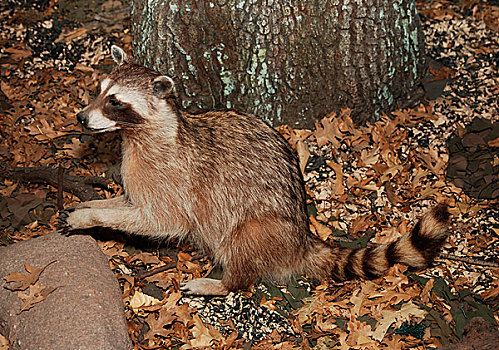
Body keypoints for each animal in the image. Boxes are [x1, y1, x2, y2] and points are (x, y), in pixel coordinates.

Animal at [61, 45, 450, 296]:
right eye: (99, 90)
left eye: (115, 102)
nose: (81, 117)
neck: (139, 135)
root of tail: (301, 240)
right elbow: (129, 203)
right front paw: (93, 205)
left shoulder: (173, 178)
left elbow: (161, 221)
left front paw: (92, 217)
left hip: (262, 227)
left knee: (242, 241)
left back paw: (224, 283)